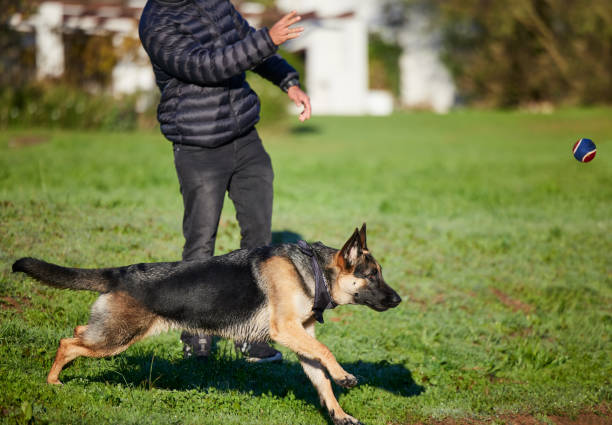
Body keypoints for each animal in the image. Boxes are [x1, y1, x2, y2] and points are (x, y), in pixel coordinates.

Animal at [13, 224, 402, 422]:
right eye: (372, 275)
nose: (399, 300)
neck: (316, 270)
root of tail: (120, 273)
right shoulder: (287, 331)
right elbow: (327, 351)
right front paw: (345, 376)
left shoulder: (300, 336)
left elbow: (320, 375)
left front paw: (339, 414)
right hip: (116, 337)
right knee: (67, 343)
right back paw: (52, 381)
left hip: (110, 332)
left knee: (77, 333)